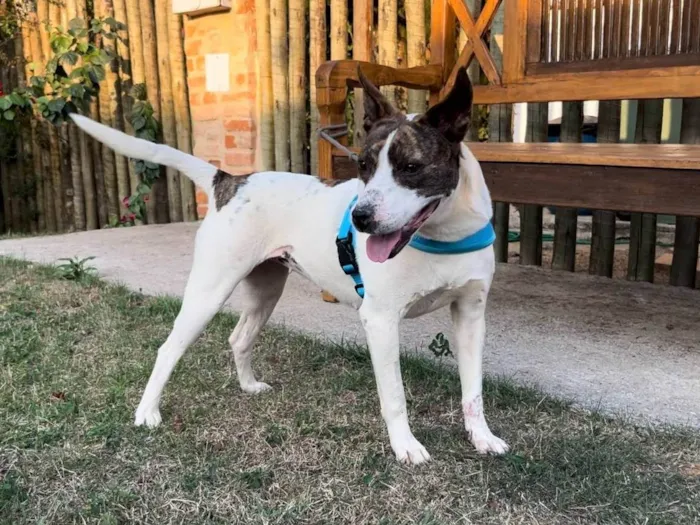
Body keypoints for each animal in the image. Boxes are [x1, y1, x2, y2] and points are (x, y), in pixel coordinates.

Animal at [69, 65, 508, 462]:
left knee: (239, 338)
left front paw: (481, 437)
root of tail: (229, 180)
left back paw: (248, 386)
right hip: (209, 291)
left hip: (266, 289)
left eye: (411, 167)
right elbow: (395, 396)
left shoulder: (471, 314)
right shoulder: (380, 320)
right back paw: (147, 411)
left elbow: (473, 390)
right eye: (363, 166)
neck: (444, 237)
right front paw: (406, 446)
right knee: (168, 348)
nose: (360, 218)